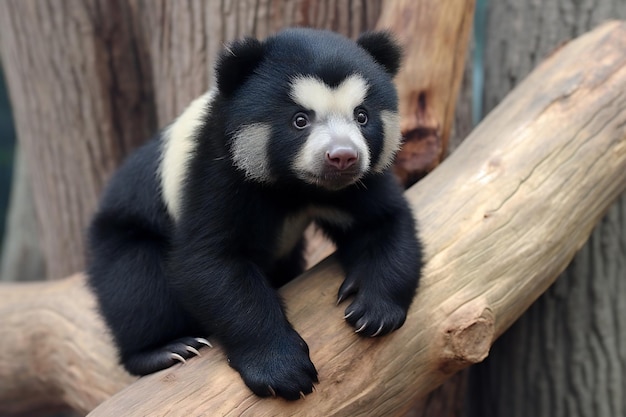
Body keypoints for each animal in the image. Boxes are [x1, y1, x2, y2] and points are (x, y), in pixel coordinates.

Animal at [86, 27, 420, 398]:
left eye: (362, 116)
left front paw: (372, 311)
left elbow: (383, 222)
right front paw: (283, 371)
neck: (296, 186)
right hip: (125, 226)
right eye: (300, 120)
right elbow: (212, 262)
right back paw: (163, 350)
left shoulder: (357, 184)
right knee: (136, 282)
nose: (342, 157)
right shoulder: (217, 170)